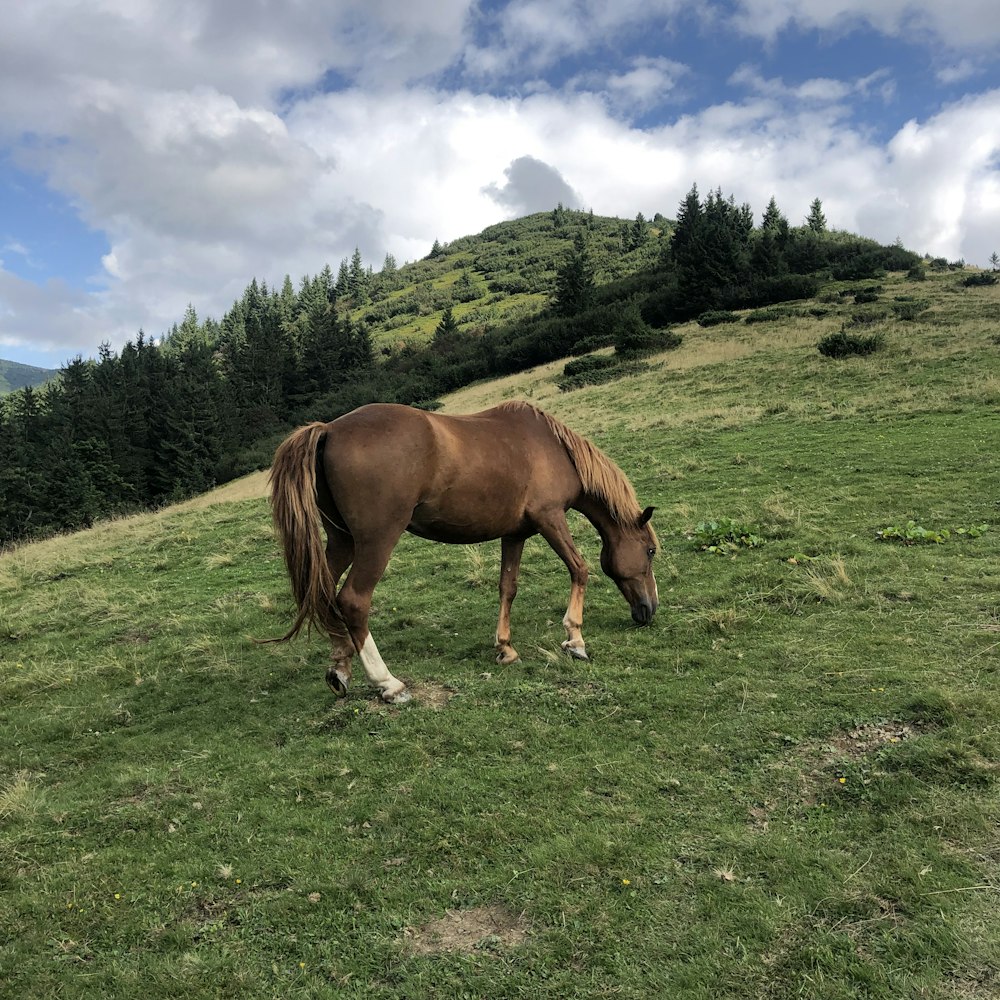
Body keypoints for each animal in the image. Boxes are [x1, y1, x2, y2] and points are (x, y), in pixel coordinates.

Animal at [268, 398, 656, 704]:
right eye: (651, 551)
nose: (649, 610)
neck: (552, 447)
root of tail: (329, 429)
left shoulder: (515, 534)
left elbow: (508, 588)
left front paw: (505, 648)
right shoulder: (550, 518)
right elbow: (579, 569)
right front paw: (575, 639)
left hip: (342, 541)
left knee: (322, 593)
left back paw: (340, 669)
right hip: (376, 542)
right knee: (352, 601)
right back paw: (388, 683)